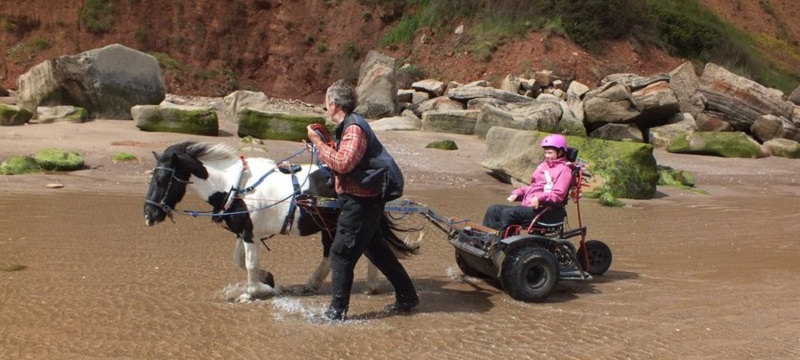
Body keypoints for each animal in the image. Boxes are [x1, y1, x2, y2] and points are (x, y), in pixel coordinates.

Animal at [144, 141, 418, 300]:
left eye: (163, 179)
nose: (148, 215)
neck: (237, 185)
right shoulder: (244, 231)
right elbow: (239, 260)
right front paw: (268, 280)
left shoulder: (250, 234)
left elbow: (250, 263)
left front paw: (251, 293)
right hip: (329, 226)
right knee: (334, 254)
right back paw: (314, 284)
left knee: (367, 252)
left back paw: (370, 285)